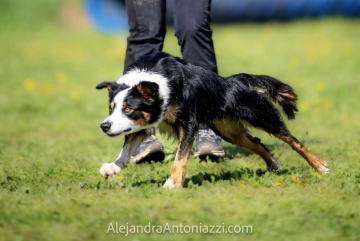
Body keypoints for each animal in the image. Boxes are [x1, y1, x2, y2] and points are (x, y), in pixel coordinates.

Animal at [96, 52, 330, 188]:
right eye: (111, 108)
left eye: (128, 108)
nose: (104, 126)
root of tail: (235, 81)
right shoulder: (145, 122)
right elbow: (126, 149)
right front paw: (112, 168)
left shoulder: (187, 123)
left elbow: (180, 157)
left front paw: (173, 183)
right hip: (229, 131)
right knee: (256, 143)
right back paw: (272, 164)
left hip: (262, 116)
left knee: (294, 141)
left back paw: (320, 165)